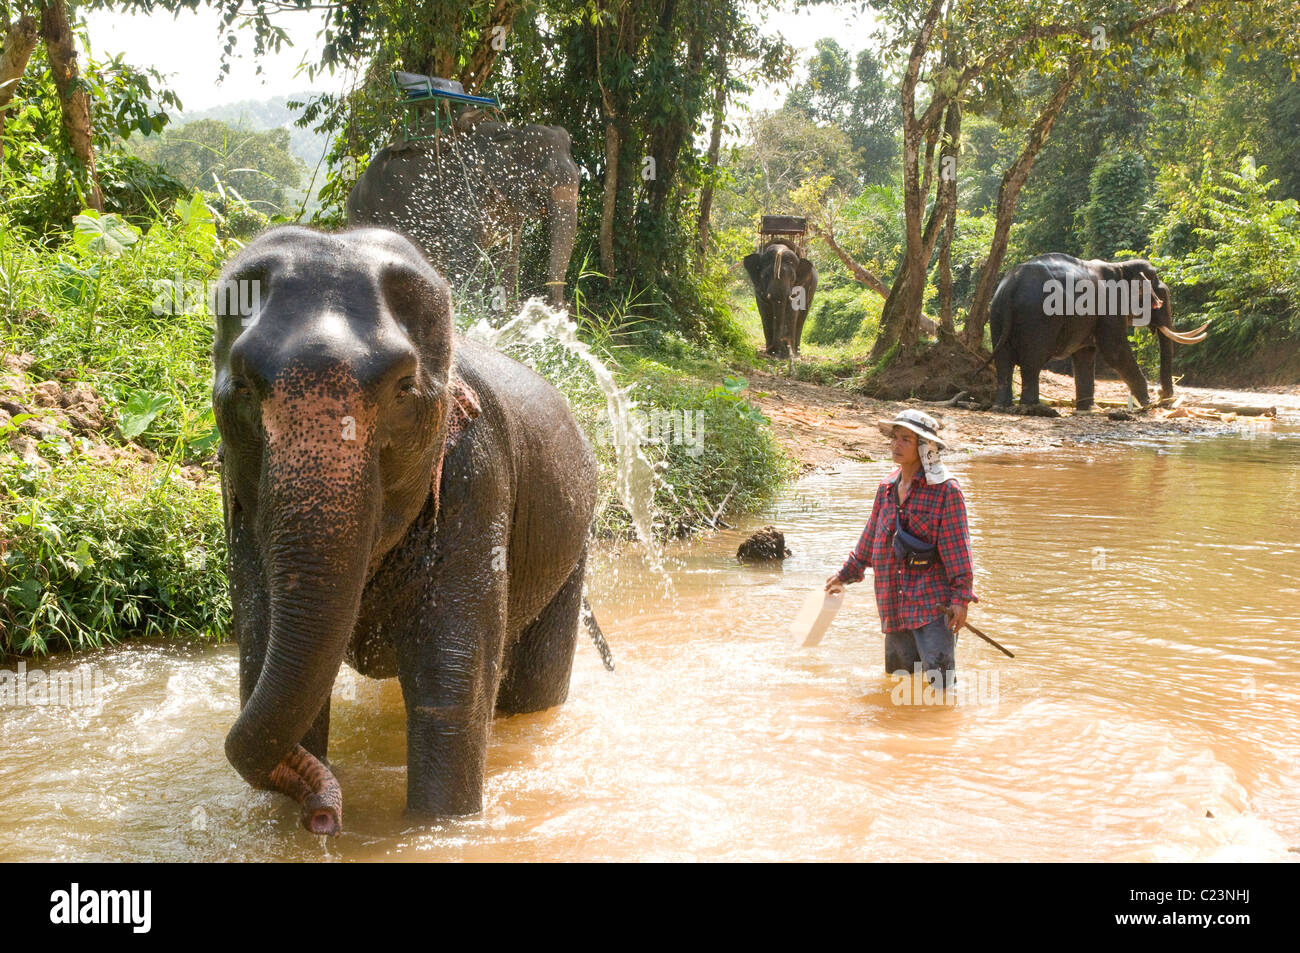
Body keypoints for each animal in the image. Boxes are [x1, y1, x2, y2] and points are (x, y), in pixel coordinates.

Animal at [213, 223, 598, 832]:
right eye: (246, 386)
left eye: (402, 388)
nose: (324, 818)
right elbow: (264, 649)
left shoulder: (477, 479)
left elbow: (453, 681)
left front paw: (435, 831)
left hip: (574, 540)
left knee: (533, 689)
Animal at [345, 111, 579, 306]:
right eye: (544, 179)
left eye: (579, 175)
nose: (556, 305)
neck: (510, 133)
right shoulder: (464, 196)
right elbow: (466, 258)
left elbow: (508, 256)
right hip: (366, 213)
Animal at [987, 254, 1211, 410]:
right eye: (1160, 297)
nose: (1164, 398)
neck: (1120, 266)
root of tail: (1012, 284)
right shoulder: (1109, 308)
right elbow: (1115, 352)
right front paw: (1147, 404)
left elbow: (1085, 355)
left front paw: (1088, 408)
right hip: (1037, 317)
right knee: (1032, 361)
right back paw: (1032, 406)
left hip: (997, 313)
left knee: (1003, 361)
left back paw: (1002, 406)